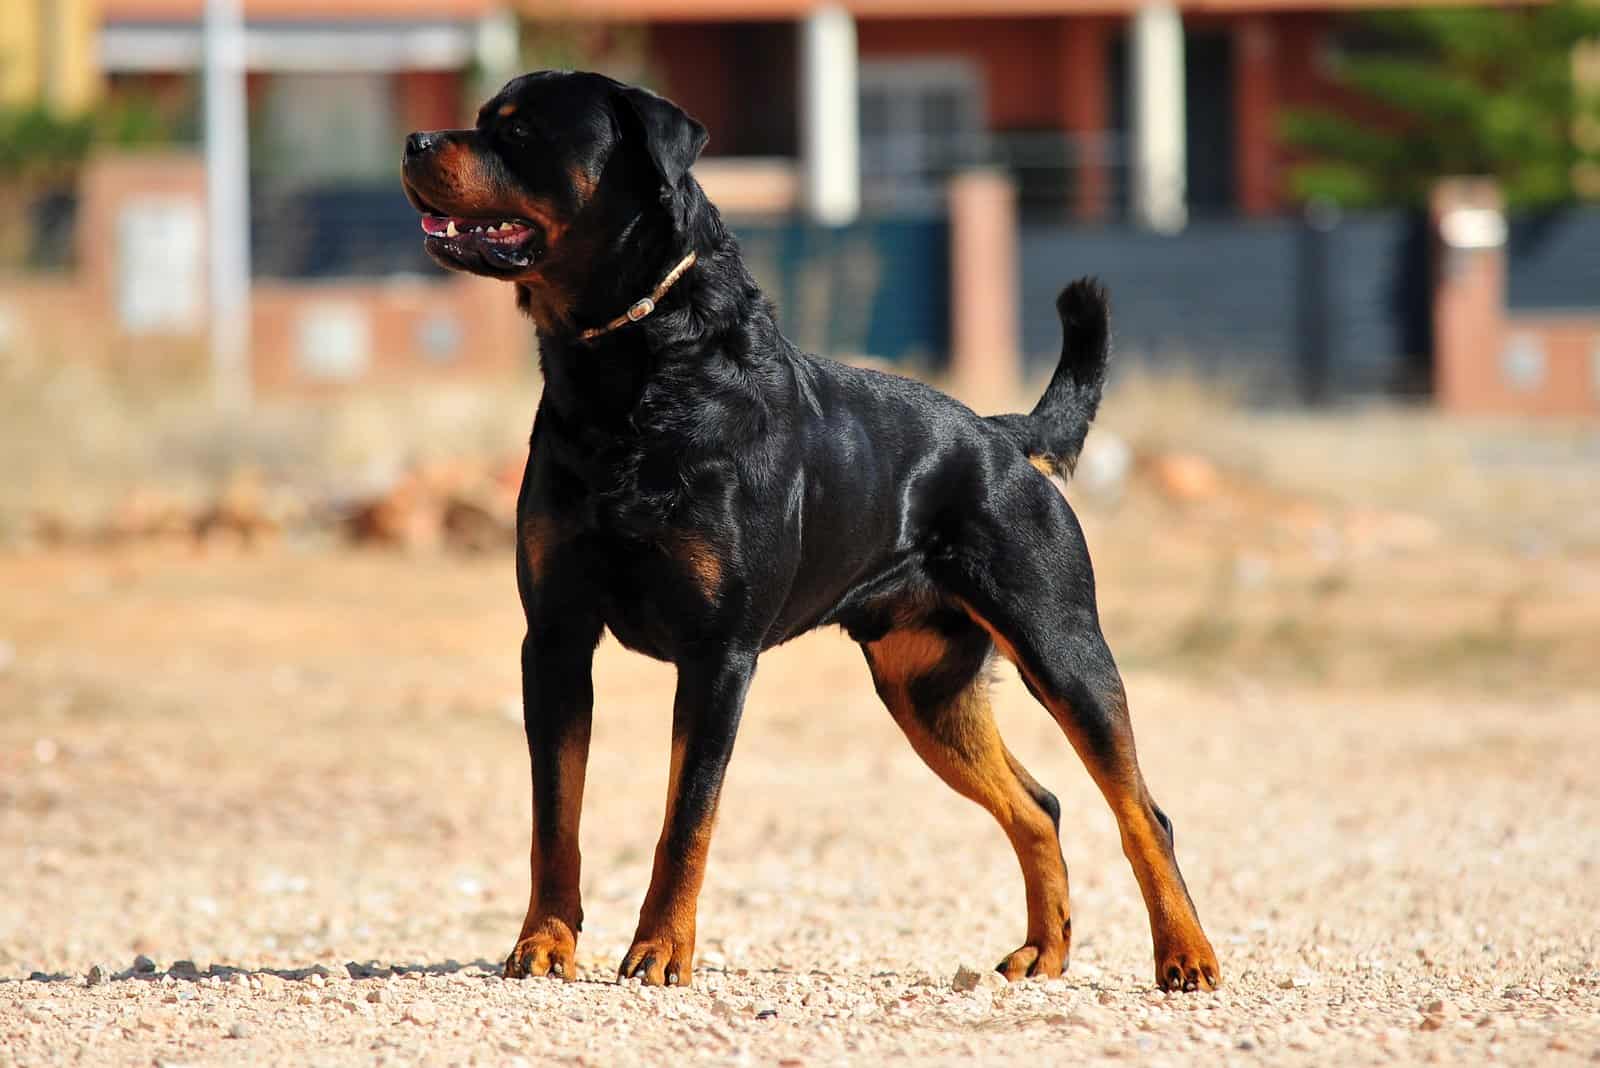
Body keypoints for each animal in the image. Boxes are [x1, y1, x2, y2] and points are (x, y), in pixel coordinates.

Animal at [403, 73, 1222, 991]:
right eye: (482, 119)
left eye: (521, 133)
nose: (415, 142)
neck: (632, 364)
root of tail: (1001, 437)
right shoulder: (554, 638)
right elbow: (556, 815)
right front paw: (545, 944)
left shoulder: (719, 657)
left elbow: (686, 818)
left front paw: (660, 951)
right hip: (923, 691)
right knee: (1038, 804)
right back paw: (1044, 950)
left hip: (1063, 648)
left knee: (1142, 809)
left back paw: (1186, 955)